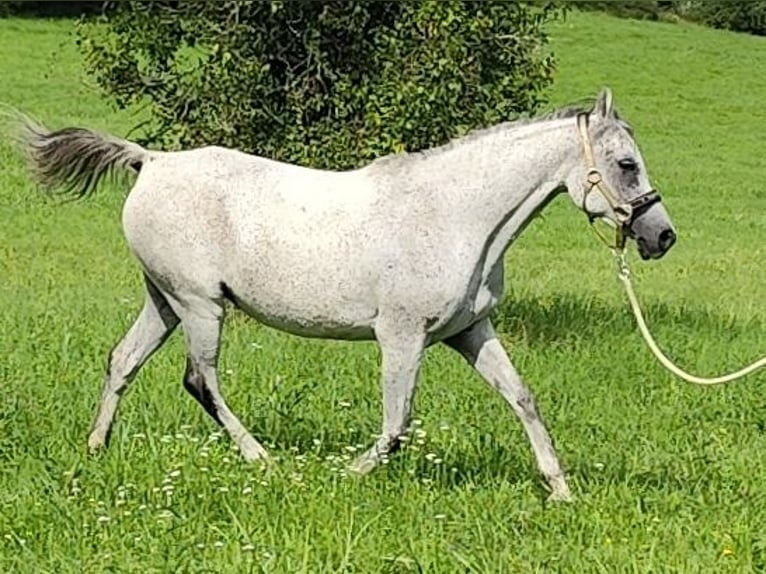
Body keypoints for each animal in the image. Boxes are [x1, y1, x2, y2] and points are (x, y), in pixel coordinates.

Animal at [16, 88, 680, 502]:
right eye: (626, 164)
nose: (661, 236)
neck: (455, 215)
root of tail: (151, 162)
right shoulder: (402, 336)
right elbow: (398, 421)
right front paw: (352, 475)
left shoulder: (471, 332)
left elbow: (523, 399)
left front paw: (560, 489)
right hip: (200, 306)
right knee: (201, 381)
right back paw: (263, 461)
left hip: (165, 302)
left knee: (122, 362)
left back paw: (96, 448)